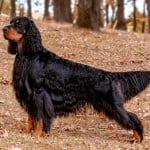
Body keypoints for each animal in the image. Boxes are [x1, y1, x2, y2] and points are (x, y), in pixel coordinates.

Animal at [2, 16, 150, 142]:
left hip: (113, 105)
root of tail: (108, 75)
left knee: (132, 117)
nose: (3, 29)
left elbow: (40, 118)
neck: (29, 54)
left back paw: (138, 138)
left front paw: (38, 135)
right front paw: (29, 133)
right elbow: (31, 118)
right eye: (11, 22)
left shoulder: (39, 94)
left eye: (18, 23)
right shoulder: (28, 96)